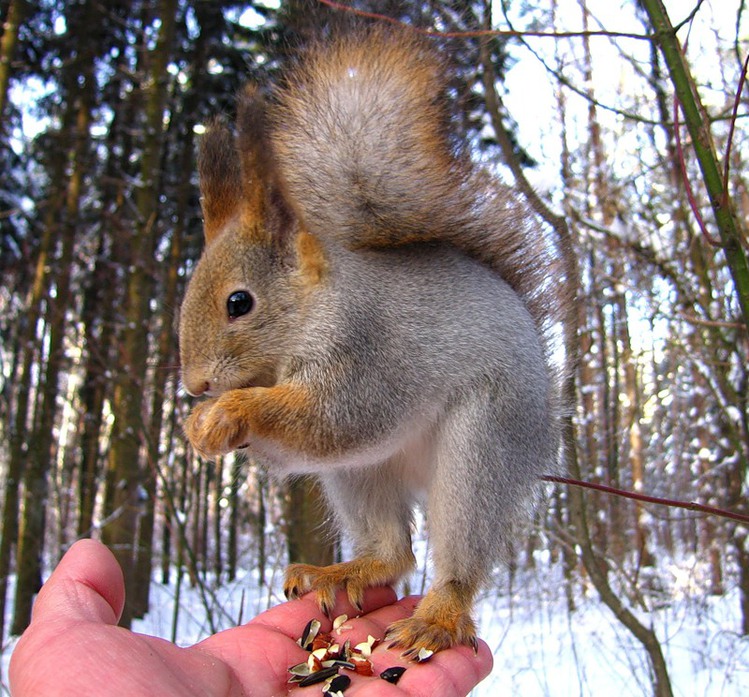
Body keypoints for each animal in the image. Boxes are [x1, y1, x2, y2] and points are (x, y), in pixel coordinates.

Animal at [180, 25, 560, 652]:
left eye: (239, 302)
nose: (194, 386)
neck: (314, 309)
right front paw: (198, 426)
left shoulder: (367, 352)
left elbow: (335, 419)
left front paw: (231, 412)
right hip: (358, 476)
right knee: (394, 551)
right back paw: (342, 571)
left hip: (485, 443)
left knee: (458, 545)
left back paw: (438, 617)